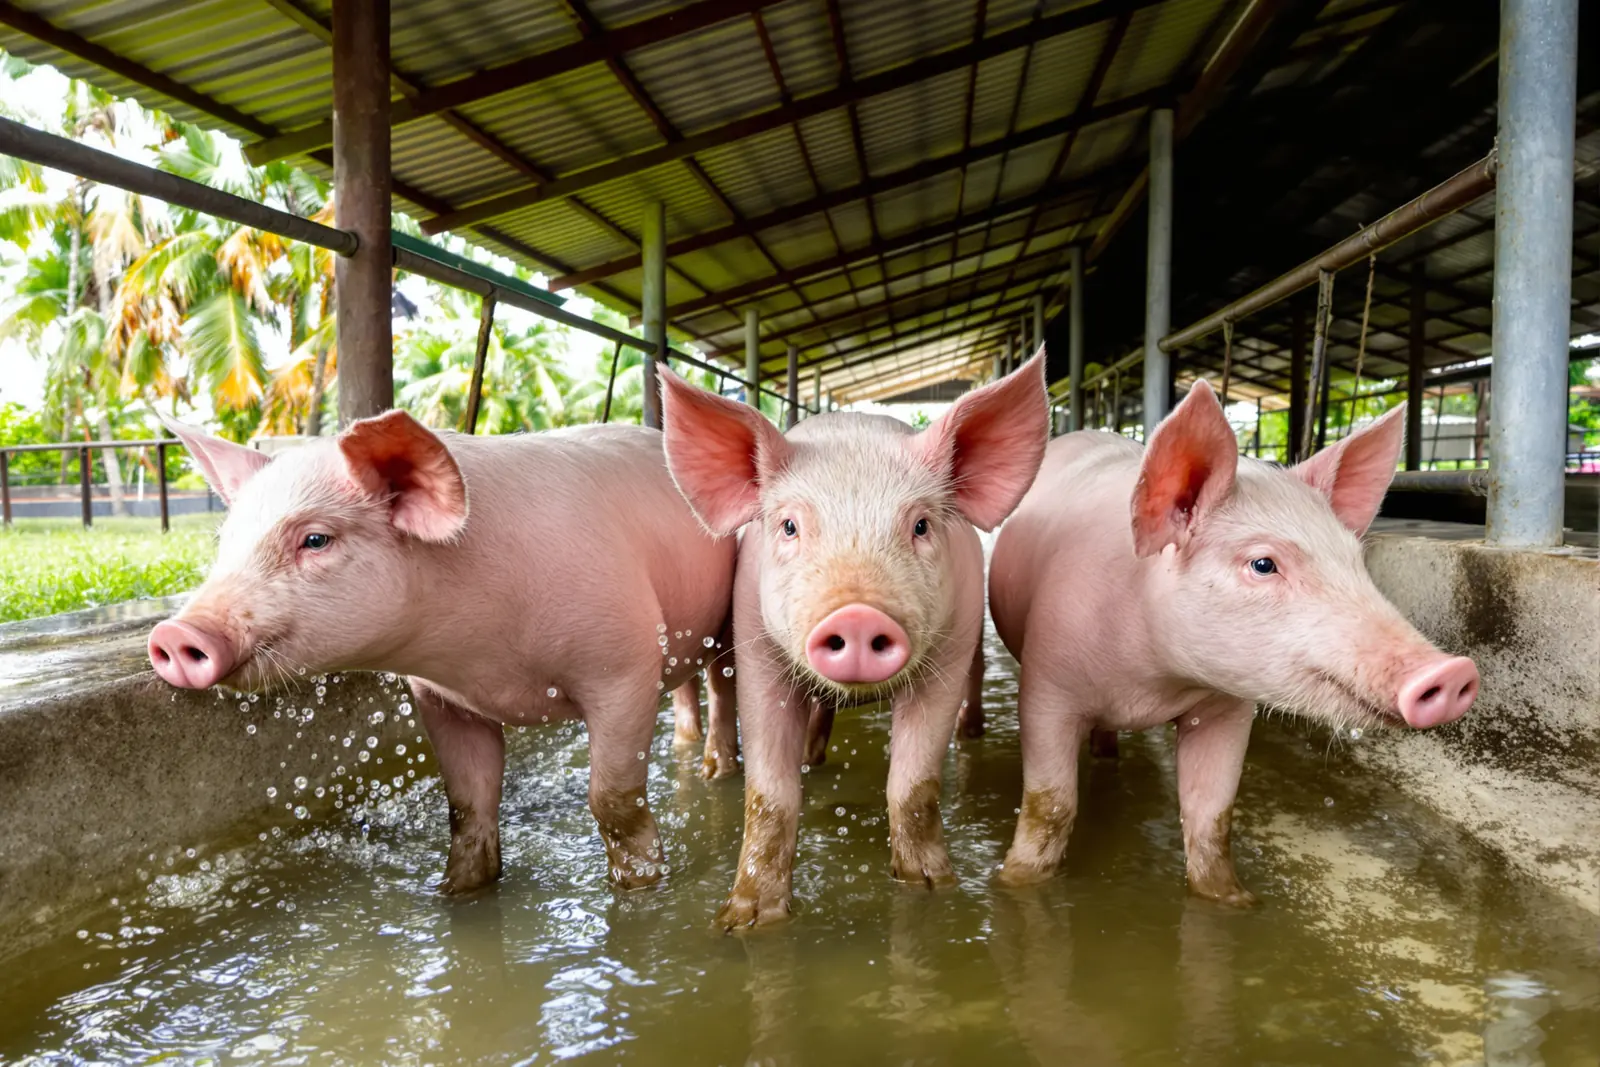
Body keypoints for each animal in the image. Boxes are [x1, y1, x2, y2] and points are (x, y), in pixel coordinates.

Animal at [146, 412, 737, 893]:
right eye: (225, 543)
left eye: (315, 540)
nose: (174, 634)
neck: (488, 664)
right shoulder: (442, 697)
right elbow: (467, 805)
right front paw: (456, 893)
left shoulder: (623, 663)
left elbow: (612, 800)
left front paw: (641, 889)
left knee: (721, 687)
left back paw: (714, 772)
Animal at [660, 354, 1049, 929]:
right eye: (789, 526)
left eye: (921, 525)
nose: (859, 614)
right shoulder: (755, 643)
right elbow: (770, 794)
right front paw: (744, 921)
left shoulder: (951, 646)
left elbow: (913, 785)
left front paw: (932, 887)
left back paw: (969, 731)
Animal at [988, 380, 1479, 903]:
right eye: (1263, 564)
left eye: (1355, 562)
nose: (1452, 671)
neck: (1149, 684)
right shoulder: (1046, 687)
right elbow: (1051, 806)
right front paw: (1014, 883)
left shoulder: (1226, 707)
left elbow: (1212, 817)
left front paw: (1235, 900)